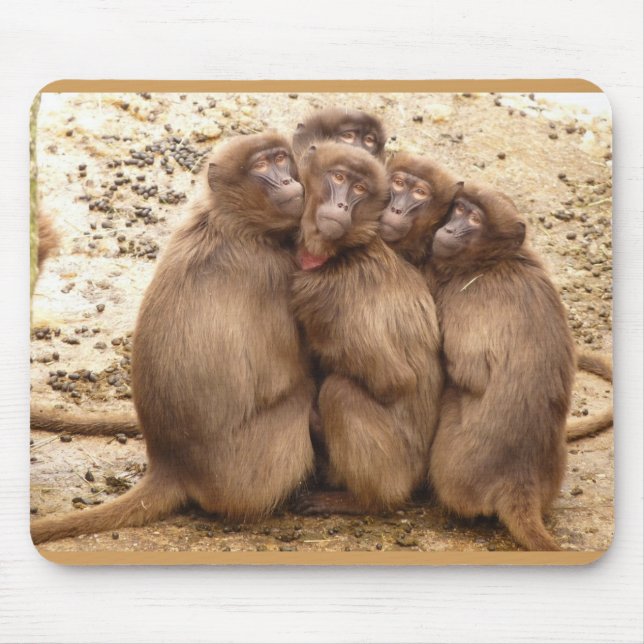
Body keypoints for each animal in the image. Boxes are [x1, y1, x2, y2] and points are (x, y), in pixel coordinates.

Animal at [31, 133, 315, 544]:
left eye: (281, 158)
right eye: (262, 166)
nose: (287, 180)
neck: (229, 222)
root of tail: (172, 465)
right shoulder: (274, 271)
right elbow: (289, 375)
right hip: (249, 474)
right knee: (304, 394)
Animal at [290, 142, 443, 514]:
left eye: (359, 189)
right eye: (338, 177)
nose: (342, 204)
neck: (342, 252)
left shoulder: (331, 295)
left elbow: (393, 381)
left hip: (395, 468)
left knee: (340, 392)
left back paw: (360, 500)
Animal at [426, 181, 578, 550]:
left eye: (474, 219)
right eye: (459, 209)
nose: (449, 229)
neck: (495, 261)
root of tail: (519, 479)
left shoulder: (466, 297)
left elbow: (468, 373)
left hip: (459, 467)